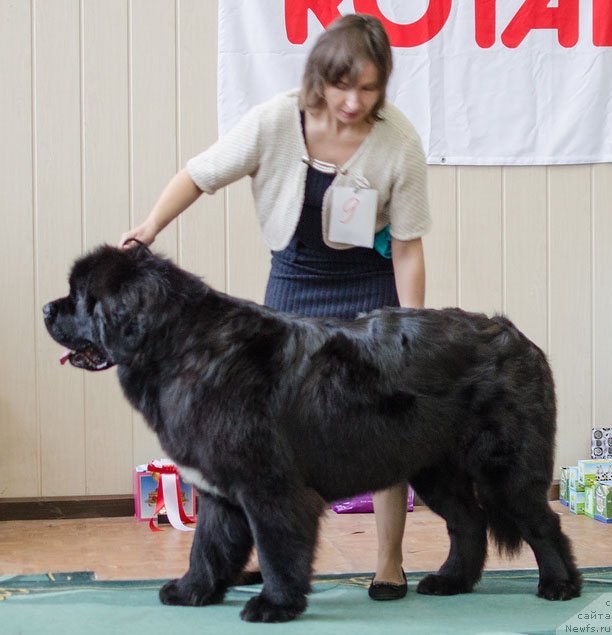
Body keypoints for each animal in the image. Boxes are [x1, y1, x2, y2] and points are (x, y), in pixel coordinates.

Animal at [43, 243, 580, 620]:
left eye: (79, 297)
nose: (47, 310)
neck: (184, 348)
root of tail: (519, 338)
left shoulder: (269, 485)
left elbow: (278, 548)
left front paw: (275, 604)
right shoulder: (220, 490)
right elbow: (209, 546)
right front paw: (192, 591)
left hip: (503, 469)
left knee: (541, 524)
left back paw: (560, 585)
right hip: (435, 470)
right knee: (467, 522)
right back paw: (451, 581)